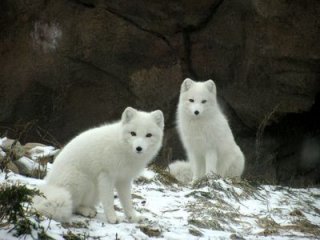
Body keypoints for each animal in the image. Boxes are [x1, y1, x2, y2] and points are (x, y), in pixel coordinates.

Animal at [33, 107, 164, 223]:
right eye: (133, 133)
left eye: (148, 135)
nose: (139, 148)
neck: (122, 148)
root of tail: (50, 185)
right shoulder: (106, 175)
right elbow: (109, 200)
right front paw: (112, 218)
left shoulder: (124, 179)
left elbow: (127, 201)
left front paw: (133, 217)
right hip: (82, 182)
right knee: (73, 206)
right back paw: (86, 211)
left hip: (95, 190)